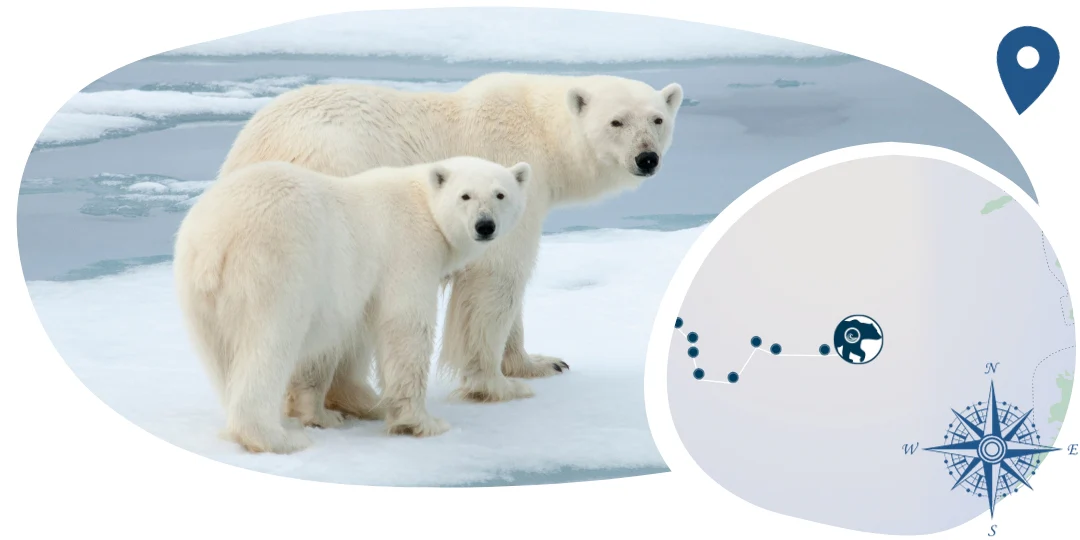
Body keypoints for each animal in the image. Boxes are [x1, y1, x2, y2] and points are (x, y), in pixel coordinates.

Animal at [173, 156, 530, 454]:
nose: (485, 226)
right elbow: (405, 326)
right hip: (273, 267)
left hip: (196, 291)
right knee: (269, 344)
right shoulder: (408, 250)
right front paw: (421, 422)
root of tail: (215, 241)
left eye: (500, 195)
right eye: (465, 196)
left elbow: (343, 338)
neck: (423, 202)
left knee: (220, 358)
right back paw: (278, 438)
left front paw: (332, 412)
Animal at [217, 72, 684, 407]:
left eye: (657, 119)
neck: (541, 131)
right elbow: (496, 276)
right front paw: (495, 384)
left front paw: (539, 362)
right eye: (616, 121)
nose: (647, 158)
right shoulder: (503, 173)